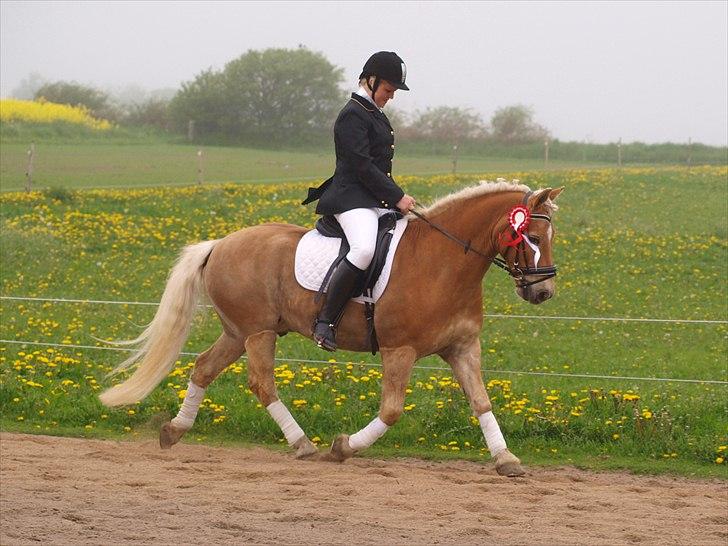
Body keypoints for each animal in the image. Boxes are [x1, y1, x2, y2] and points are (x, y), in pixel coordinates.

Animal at [98, 180, 564, 476]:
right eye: (531, 235)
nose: (543, 292)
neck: (444, 260)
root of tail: (220, 243)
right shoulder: (399, 350)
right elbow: (391, 411)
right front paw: (343, 448)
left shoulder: (463, 347)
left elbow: (482, 402)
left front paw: (506, 460)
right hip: (257, 333)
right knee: (262, 383)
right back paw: (304, 444)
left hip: (237, 332)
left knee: (203, 368)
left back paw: (174, 431)